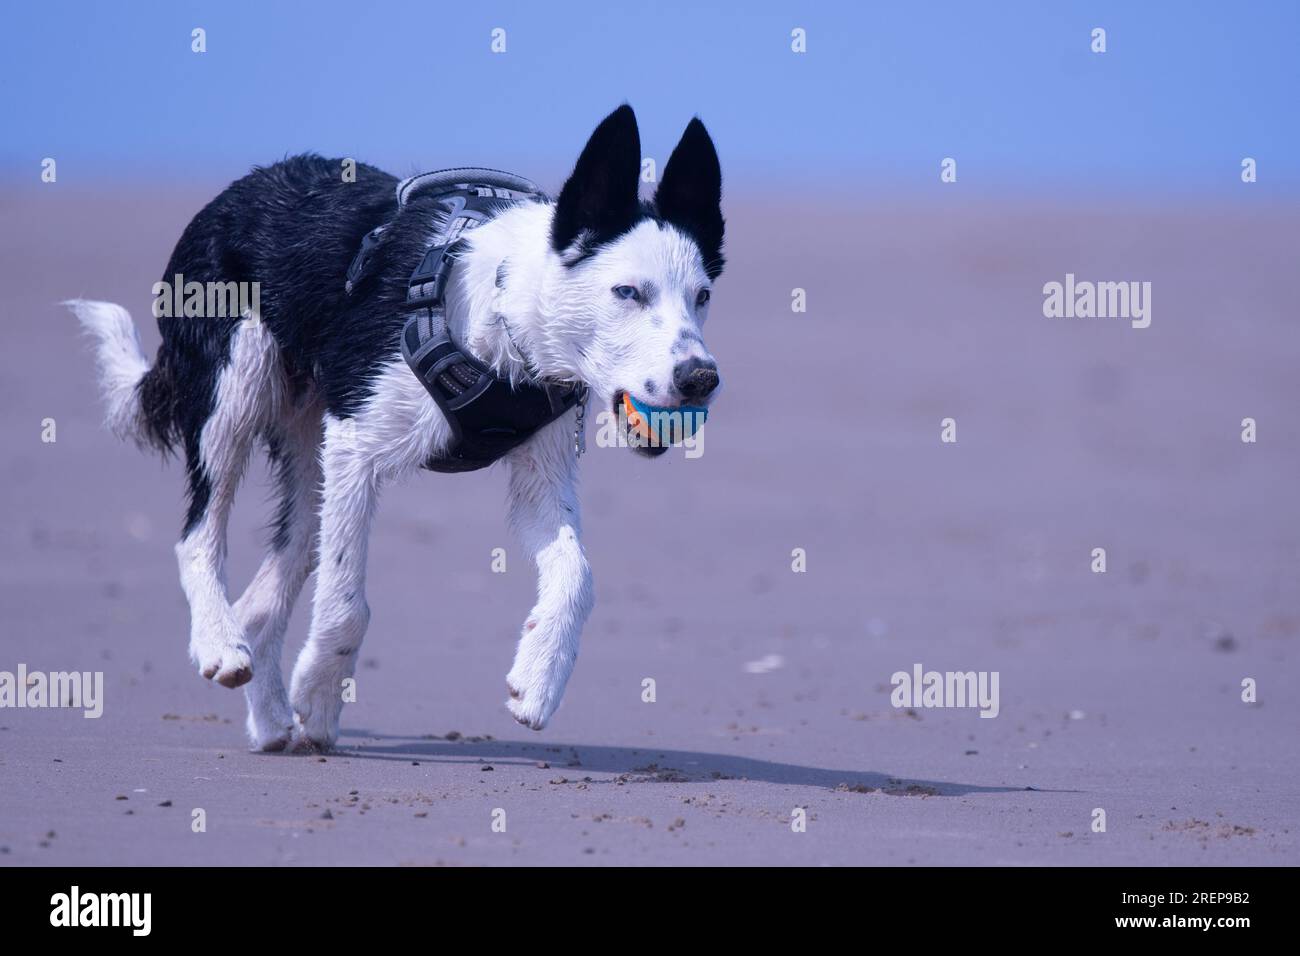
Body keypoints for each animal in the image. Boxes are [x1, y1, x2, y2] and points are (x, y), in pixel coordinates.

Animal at [71, 102, 728, 749]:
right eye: (627, 292)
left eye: (702, 296)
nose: (701, 378)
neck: (496, 312)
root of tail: (235, 193)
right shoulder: (355, 444)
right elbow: (346, 602)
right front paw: (319, 694)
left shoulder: (538, 476)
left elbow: (578, 576)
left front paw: (539, 681)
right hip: (236, 384)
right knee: (198, 532)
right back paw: (221, 646)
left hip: (309, 451)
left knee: (265, 591)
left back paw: (271, 719)